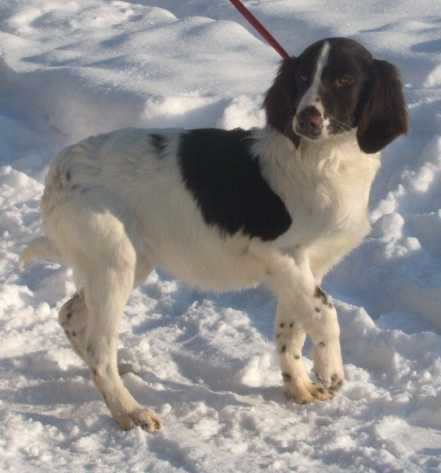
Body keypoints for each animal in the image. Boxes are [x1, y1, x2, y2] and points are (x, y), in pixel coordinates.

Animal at [19, 37, 406, 430]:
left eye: (344, 80)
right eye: (302, 77)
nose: (305, 118)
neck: (324, 159)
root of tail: (59, 171)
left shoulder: (305, 267)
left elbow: (292, 330)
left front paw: (298, 388)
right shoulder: (280, 254)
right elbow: (325, 313)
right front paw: (331, 371)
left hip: (124, 262)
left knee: (71, 316)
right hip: (115, 263)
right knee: (99, 348)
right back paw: (130, 411)